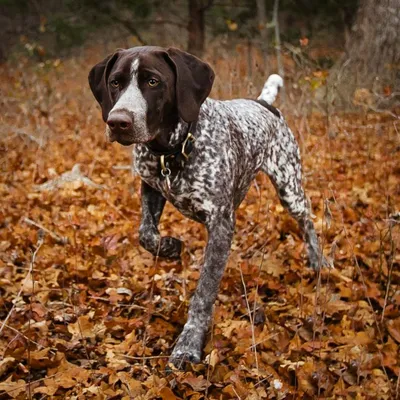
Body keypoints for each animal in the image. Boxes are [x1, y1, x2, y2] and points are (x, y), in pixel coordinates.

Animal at [88, 45, 324, 368]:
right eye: (115, 82)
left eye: (153, 81)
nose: (118, 122)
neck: (174, 149)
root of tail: (263, 103)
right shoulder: (152, 187)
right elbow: (146, 234)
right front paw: (170, 247)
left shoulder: (221, 225)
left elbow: (204, 293)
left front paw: (188, 344)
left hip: (290, 187)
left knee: (308, 221)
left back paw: (319, 261)